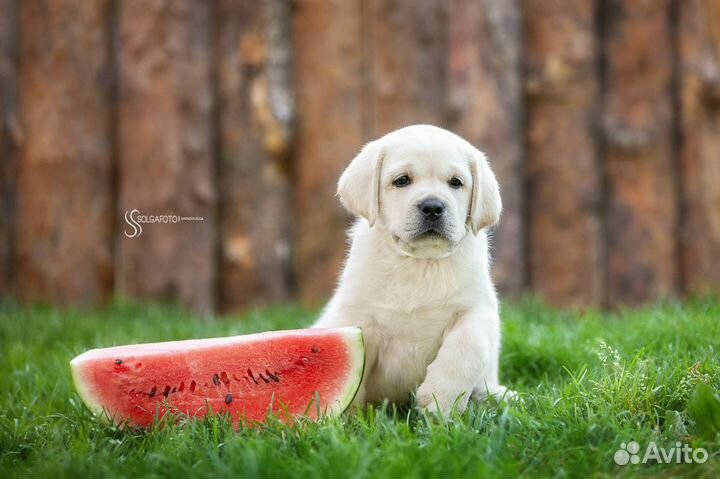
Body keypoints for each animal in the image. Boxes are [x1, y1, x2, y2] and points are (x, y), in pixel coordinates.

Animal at [316, 124, 512, 416]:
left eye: (456, 182)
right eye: (402, 181)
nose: (433, 207)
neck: (420, 264)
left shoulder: (477, 309)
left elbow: (468, 346)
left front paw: (441, 398)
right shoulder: (358, 318)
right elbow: (356, 369)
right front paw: (345, 416)